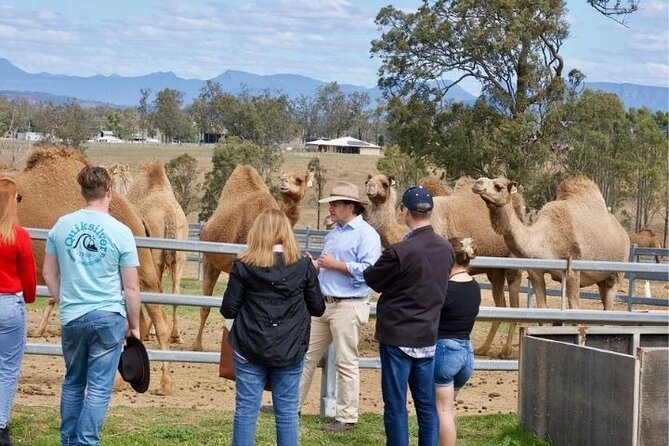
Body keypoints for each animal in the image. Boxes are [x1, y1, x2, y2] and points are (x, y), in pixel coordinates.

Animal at [126, 162, 189, 344]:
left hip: (155, 255)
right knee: (175, 291)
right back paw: (176, 335)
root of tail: (169, 214)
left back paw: (149, 332)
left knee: (156, 289)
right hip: (180, 256)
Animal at [190, 166, 310, 350]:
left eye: (299, 180)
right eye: (281, 177)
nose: (283, 184)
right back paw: (196, 345)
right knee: (205, 305)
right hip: (210, 260)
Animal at [362, 172, 524, 358]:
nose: (370, 188)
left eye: (384, 183)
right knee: (501, 304)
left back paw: (505, 351)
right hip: (494, 270)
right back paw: (484, 348)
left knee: (515, 304)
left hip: (512, 264)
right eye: (368, 181)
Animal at [470, 175, 632, 310]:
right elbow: (542, 308)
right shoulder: (535, 272)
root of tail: (625, 234)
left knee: (609, 303)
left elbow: (574, 309)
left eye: (498, 186)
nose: (477, 182)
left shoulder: (573, 271)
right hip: (601, 280)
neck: (544, 240)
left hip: (617, 273)